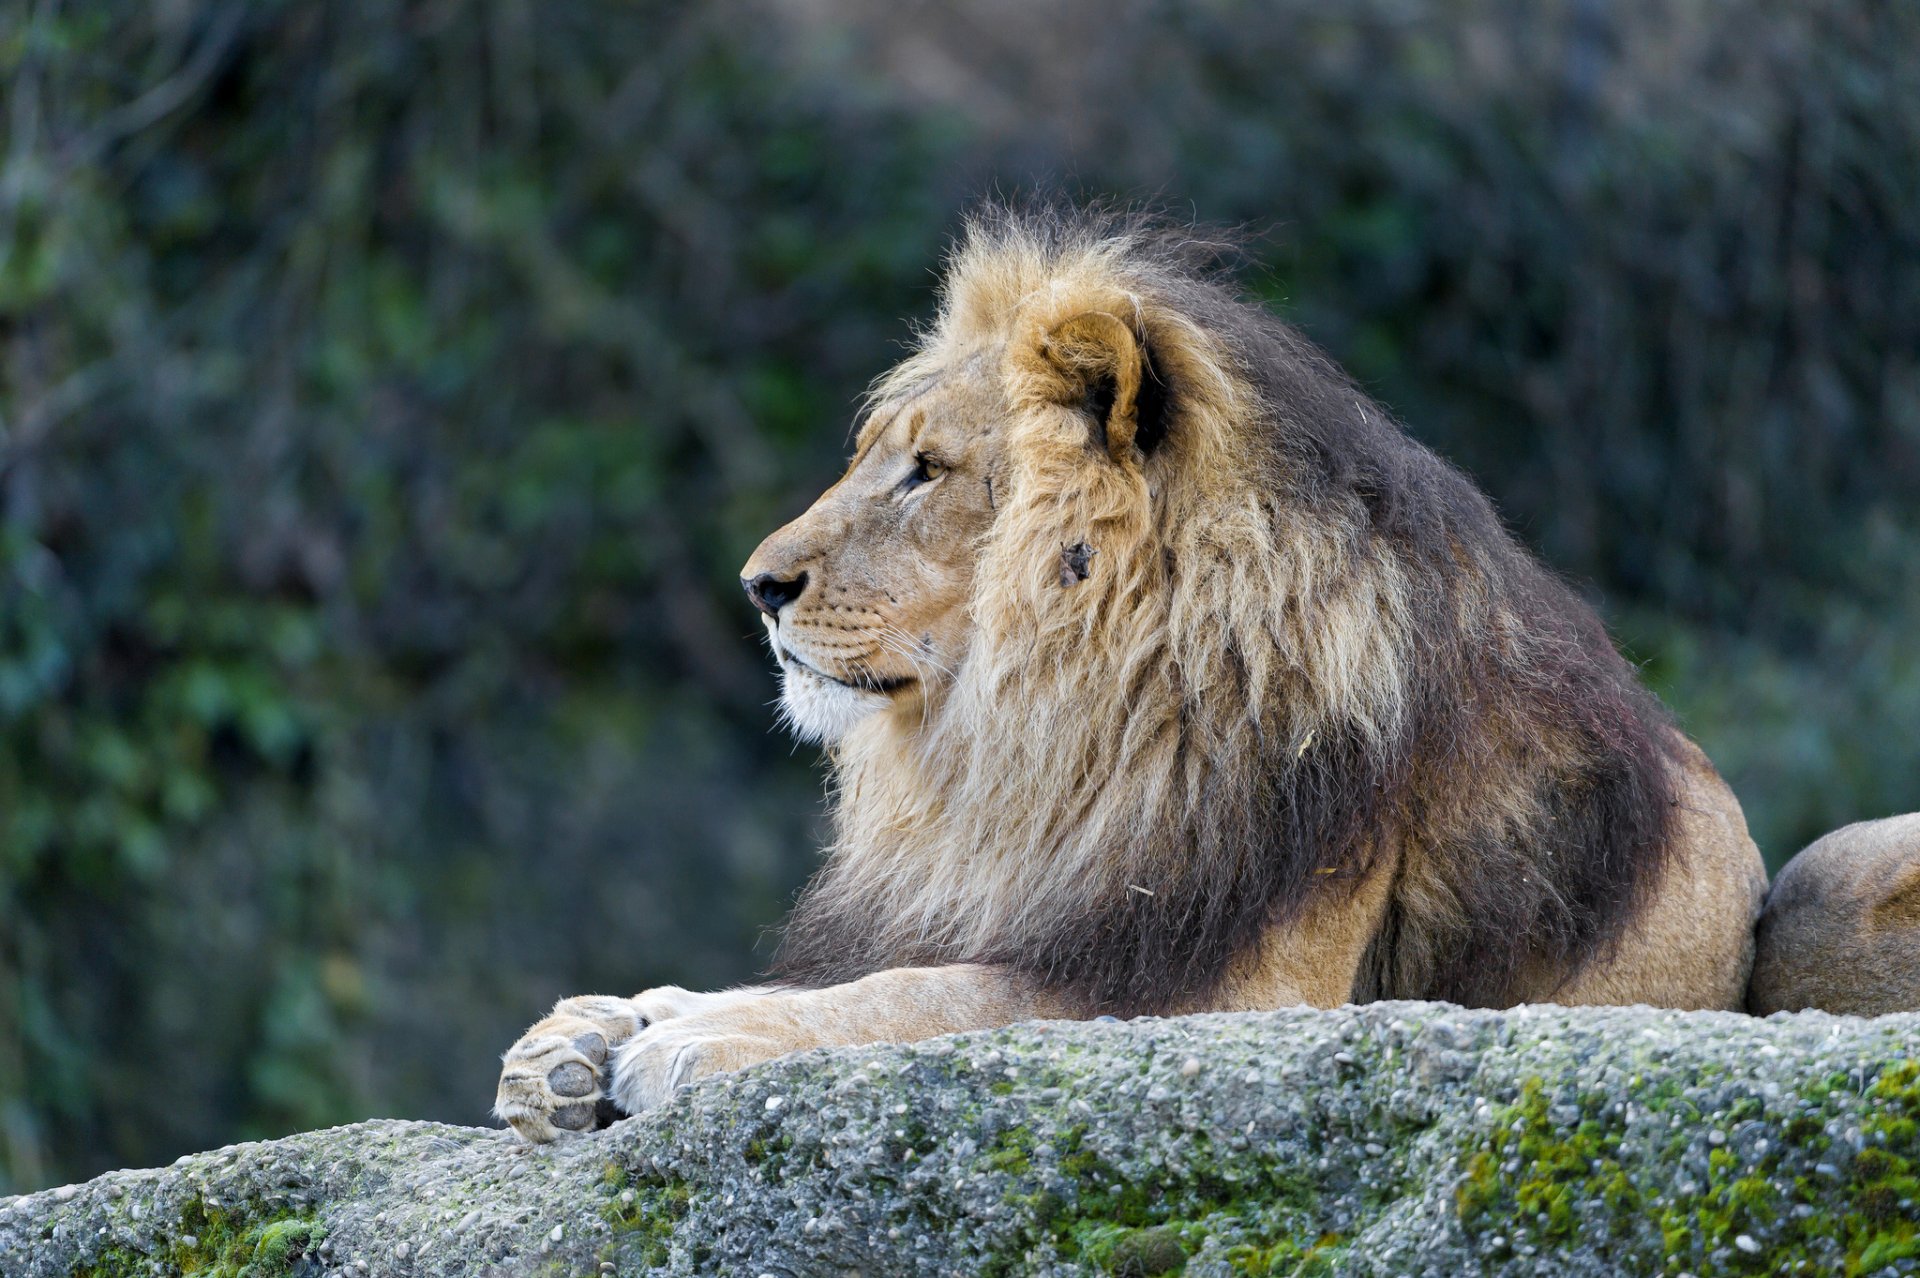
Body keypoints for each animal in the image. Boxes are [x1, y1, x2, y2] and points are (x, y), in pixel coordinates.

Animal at [494, 205, 1768, 1142]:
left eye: (926, 471)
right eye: (872, 459)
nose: (758, 587)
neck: (1078, 714)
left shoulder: (1240, 991)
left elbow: (940, 995)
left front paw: (693, 1041)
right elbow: (901, 971)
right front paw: (603, 1029)